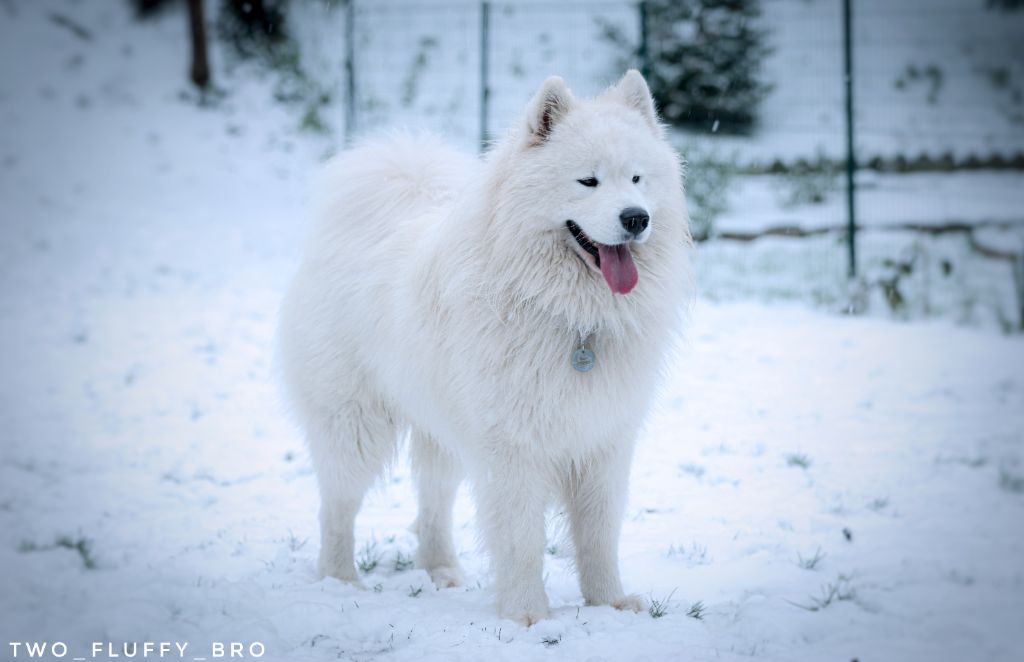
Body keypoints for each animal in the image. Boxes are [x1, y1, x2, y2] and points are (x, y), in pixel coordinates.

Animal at [280, 72, 692, 627]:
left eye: (637, 179)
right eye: (588, 181)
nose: (636, 218)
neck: (571, 317)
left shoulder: (602, 441)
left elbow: (598, 534)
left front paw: (609, 602)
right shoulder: (514, 447)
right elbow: (521, 539)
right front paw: (527, 614)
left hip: (441, 427)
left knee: (433, 500)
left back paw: (441, 571)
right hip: (353, 423)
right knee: (338, 504)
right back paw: (340, 579)